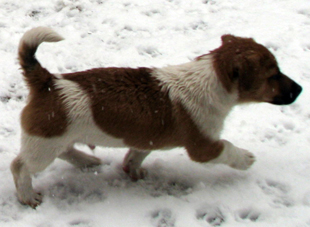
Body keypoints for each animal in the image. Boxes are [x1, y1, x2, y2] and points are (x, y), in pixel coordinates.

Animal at [10, 26, 302, 207]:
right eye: (273, 75)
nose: (300, 89)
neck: (211, 80)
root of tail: (48, 81)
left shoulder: (147, 140)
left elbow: (136, 155)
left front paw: (132, 169)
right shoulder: (204, 147)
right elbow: (228, 148)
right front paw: (245, 158)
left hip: (54, 138)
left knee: (65, 151)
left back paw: (87, 161)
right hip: (44, 145)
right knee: (20, 166)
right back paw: (27, 196)